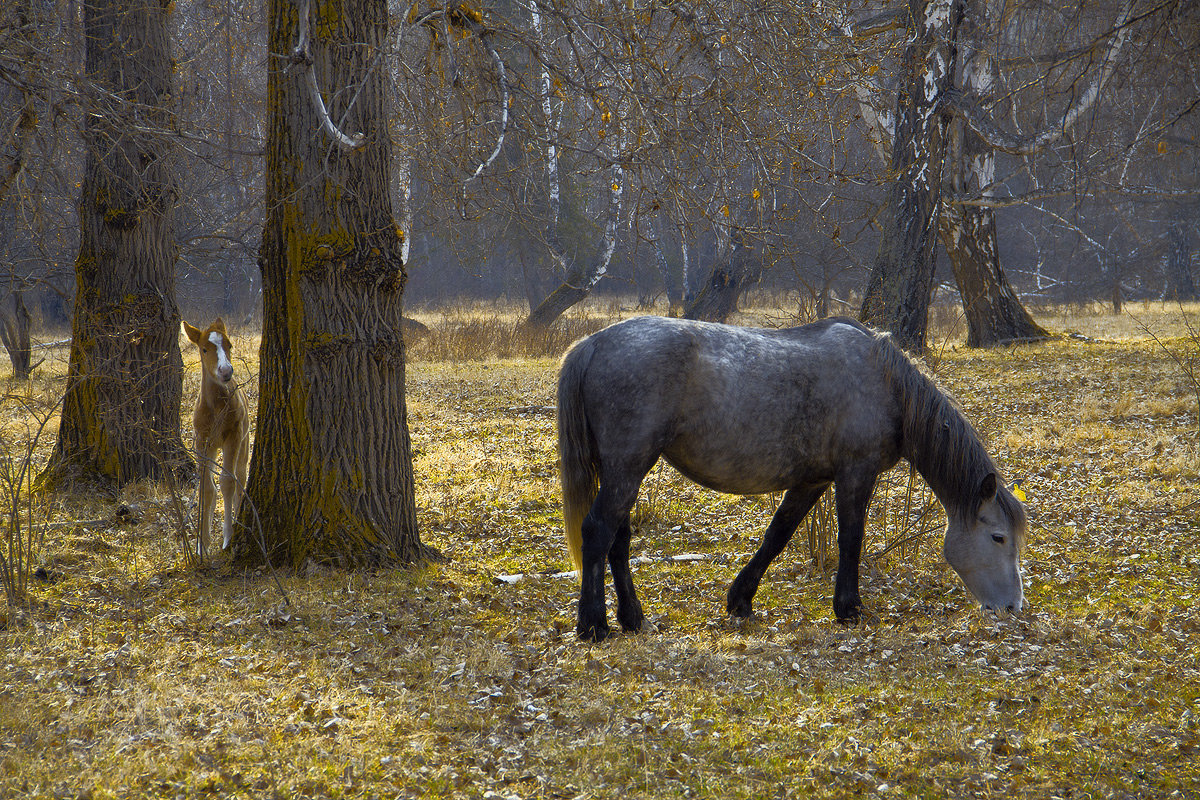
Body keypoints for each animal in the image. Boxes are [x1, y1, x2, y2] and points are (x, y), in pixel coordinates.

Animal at [180, 319, 248, 556]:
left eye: (229, 345)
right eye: (204, 349)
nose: (226, 371)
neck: (216, 409)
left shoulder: (233, 435)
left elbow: (227, 482)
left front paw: (227, 539)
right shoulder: (202, 441)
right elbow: (207, 488)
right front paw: (202, 544)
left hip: (244, 444)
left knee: (240, 479)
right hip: (213, 447)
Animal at [556, 316, 1027, 642]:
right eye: (998, 537)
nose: (1012, 608)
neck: (885, 384)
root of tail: (593, 343)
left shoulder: (812, 481)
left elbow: (778, 534)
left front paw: (740, 599)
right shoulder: (855, 474)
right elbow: (850, 539)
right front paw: (849, 609)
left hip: (624, 471)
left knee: (618, 539)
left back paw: (632, 619)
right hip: (627, 467)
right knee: (598, 532)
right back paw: (593, 625)